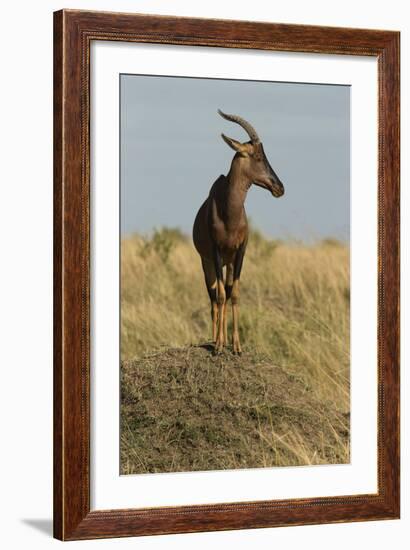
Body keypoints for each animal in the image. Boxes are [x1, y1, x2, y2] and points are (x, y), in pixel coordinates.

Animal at [193, 110, 284, 356]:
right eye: (258, 157)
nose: (279, 187)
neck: (228, 211)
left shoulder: (240, 252)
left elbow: (234, 294)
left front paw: (237, 346)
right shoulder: (215, 253)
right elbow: (221, 296)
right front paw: (218, 346)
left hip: (229, 261)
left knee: (225, 292)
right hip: (208, 263)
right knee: (214, 298)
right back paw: (215, 340)